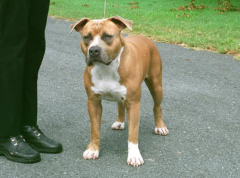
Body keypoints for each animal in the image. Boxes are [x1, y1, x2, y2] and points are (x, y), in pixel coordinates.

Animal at [71, 15, 169, 167]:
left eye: (107, 36)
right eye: (86, 37)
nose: (93, 50)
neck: (107, 68)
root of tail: (145, 38)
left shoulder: (134, 103)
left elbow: (133, 133)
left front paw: (134, 155)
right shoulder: (93, 102)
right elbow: (95, 129)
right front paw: (93, 149)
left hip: (156, 85)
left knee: (157, 106)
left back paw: (160, 126)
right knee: (120, 104)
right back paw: (120, 121)